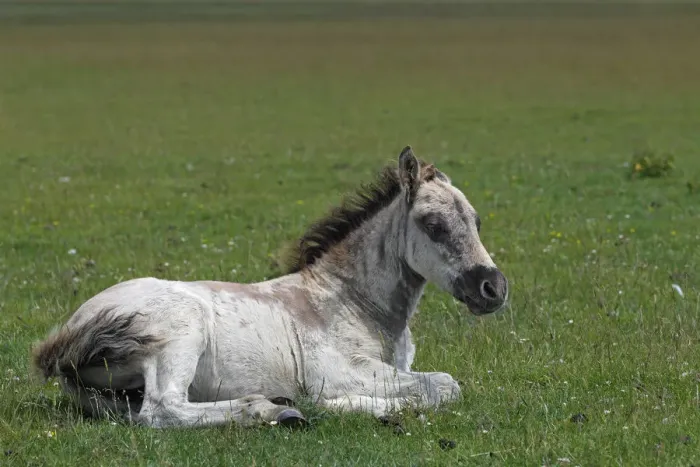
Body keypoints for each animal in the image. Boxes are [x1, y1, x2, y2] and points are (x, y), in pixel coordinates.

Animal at [32, 146, 509, 429]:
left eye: (476, 221)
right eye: (434, 225)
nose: (494, 288)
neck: (351, 301)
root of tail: (65, 337)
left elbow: (435, 385)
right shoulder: (337, 371)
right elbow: (442, 386)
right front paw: (334, 405)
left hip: (116, 392)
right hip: (180, 335)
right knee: (163, 409)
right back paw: (273, 409)